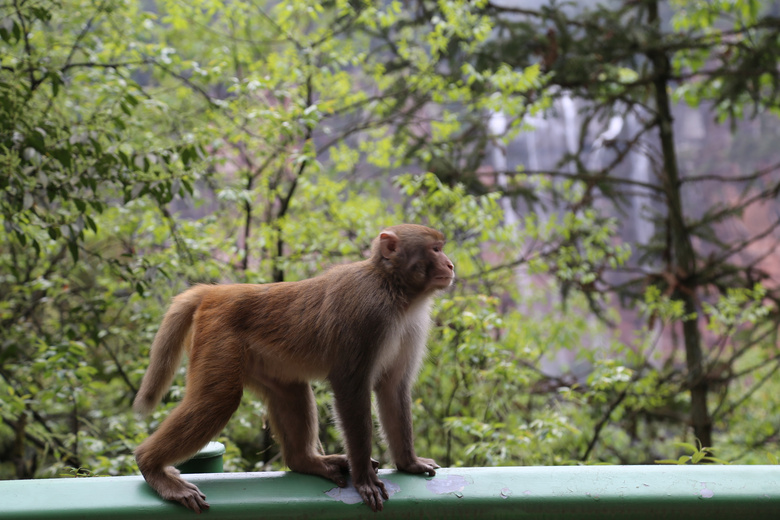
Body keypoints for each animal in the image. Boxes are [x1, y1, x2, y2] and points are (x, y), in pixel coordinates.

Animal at [131, 223, 454, 512]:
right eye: (435, 249)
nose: (450, 264)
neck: (394, 289)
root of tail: (215, 293)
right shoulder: (367, 315)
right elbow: (350, 386)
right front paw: (364, 479)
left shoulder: (412, 325)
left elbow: (392, 387)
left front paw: (408, 463)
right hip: (218, 336)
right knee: (218, 400)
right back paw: (151, 465)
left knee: (289, 391)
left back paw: (306, 461)